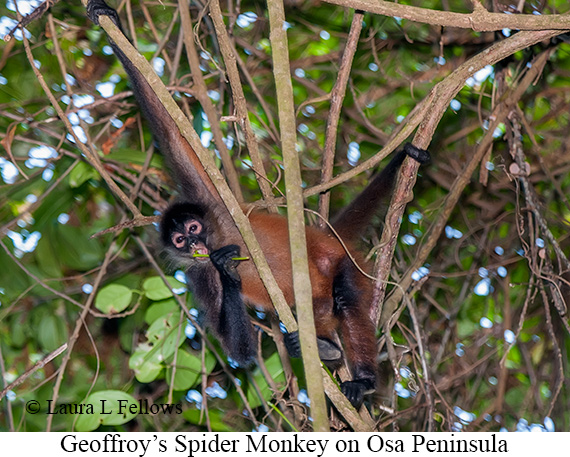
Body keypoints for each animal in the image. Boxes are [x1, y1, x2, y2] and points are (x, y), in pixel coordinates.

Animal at [86, 0, 428, 406]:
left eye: (194, 227)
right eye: (182, 241)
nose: (198, 243)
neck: (218, 235)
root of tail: (325, 237)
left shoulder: (213, 200)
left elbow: (171, 133)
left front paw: (108, 20)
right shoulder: (197, 274)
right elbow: (241, 351)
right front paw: (228, 272)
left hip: (338, 261)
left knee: (345, 298)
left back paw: (362, 379)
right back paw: (325, 349)